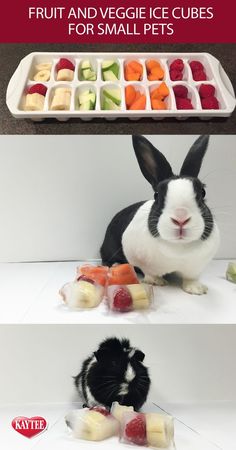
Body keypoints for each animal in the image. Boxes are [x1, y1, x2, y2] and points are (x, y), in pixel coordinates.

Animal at [100, 134, 219, 296]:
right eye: (156, 195)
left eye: (203, 192)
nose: (181, 218)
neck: (178, 248)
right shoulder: (137, 256)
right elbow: (149, 272)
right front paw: (157, 281)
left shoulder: (195, 268)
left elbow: (191, 278)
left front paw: (197, 289)